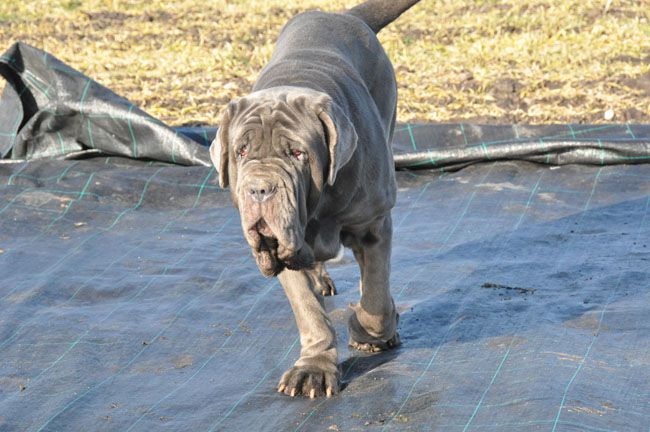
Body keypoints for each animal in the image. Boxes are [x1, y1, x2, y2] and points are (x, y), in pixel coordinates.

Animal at [209, 0, 420, 398]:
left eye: (297, 153)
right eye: (241, 151)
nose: (260, 188)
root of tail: (345, 15)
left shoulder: (373, 224)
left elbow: (376, 297)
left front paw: (370, 331)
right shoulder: (282, 243)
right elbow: (308, 310)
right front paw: (314, 368)